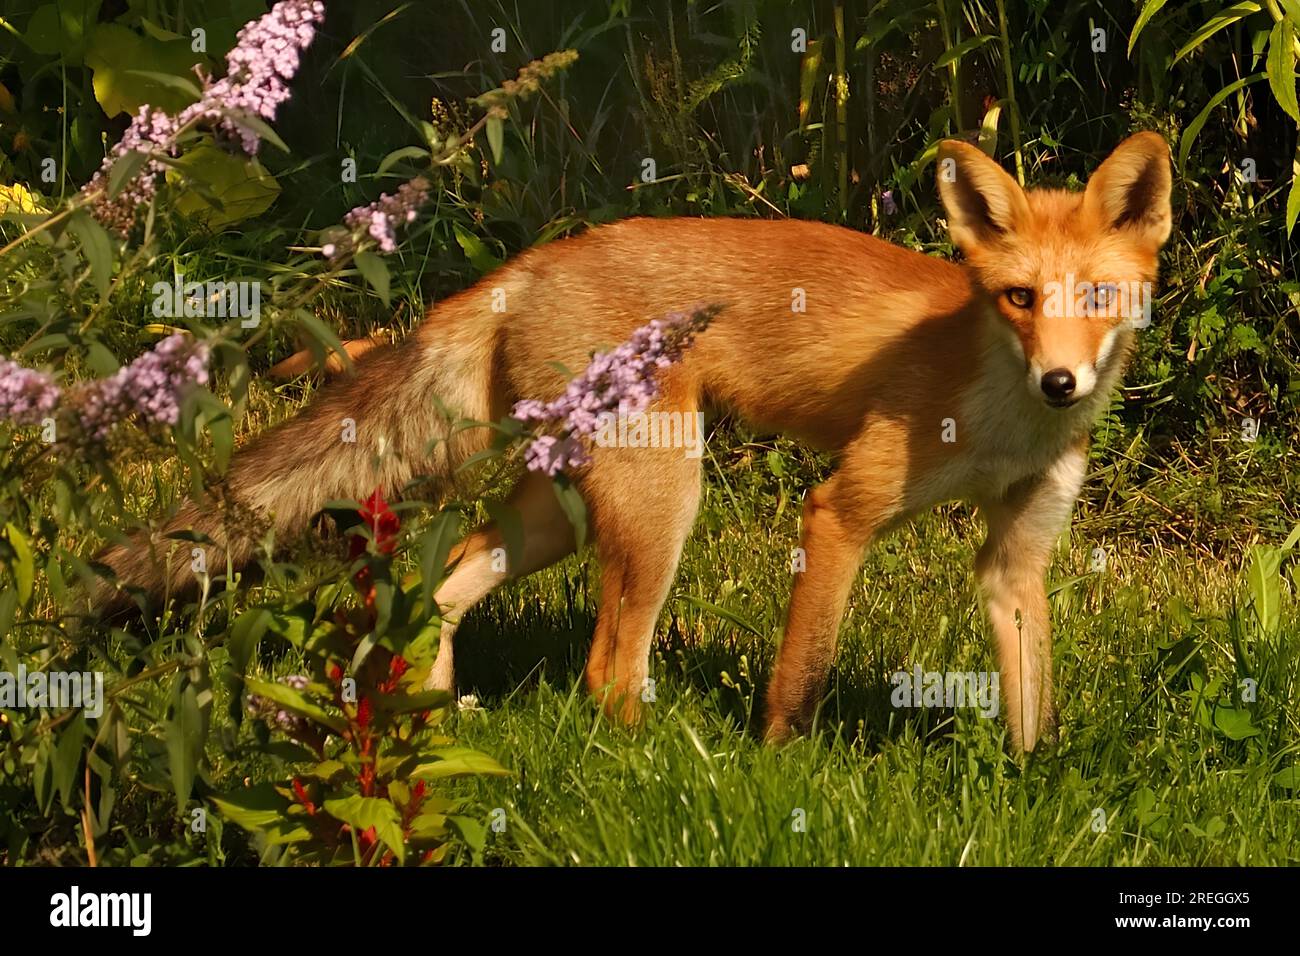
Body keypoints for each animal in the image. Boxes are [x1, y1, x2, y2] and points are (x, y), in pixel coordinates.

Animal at [101, 132, 1175, 754]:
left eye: (1096, 299)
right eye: (1019, 298)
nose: (1062, 382)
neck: (1003, 412)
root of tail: (530, 263)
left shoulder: (1017, 553)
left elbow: (1034, 708)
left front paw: (1033, 788)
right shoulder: (842, 509)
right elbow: (803, 676)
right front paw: (778, 770)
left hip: (563, 511)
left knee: (443, 579)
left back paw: (435, 724)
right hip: (664, 501)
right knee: (605, 671)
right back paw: (649, 758)